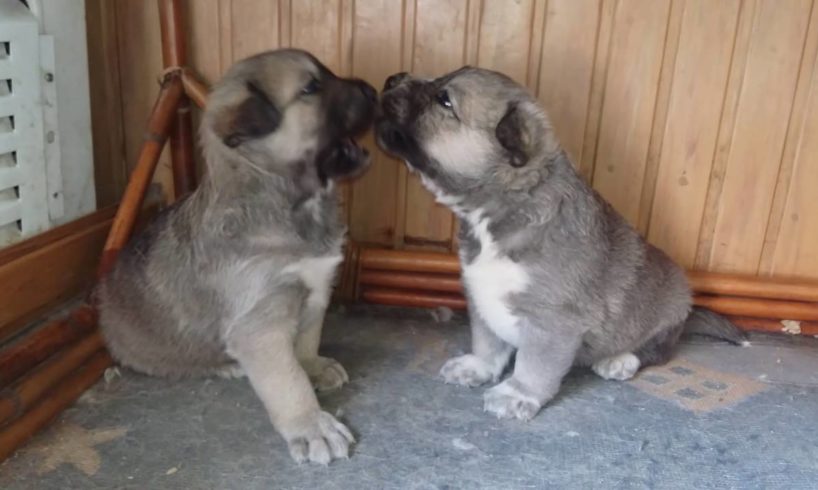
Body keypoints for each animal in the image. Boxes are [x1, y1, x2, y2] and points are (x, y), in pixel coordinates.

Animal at [98, 48, 376, 464]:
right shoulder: (261, 323)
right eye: (311, 87)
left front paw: (314, 366)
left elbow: (307, 340)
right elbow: (289, 380)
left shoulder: (316, 290)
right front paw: (312, 426)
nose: (375, 89)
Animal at [372, 67, 744, 422]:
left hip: (664, 315)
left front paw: (516, 394)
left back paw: (620, 360)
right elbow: (487, 341)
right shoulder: (480, 296)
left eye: (444, 100)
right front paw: (477, 367)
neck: (503, 209)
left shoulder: (553, 321)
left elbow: (534, 365)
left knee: (656, 351)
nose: (391, 79)